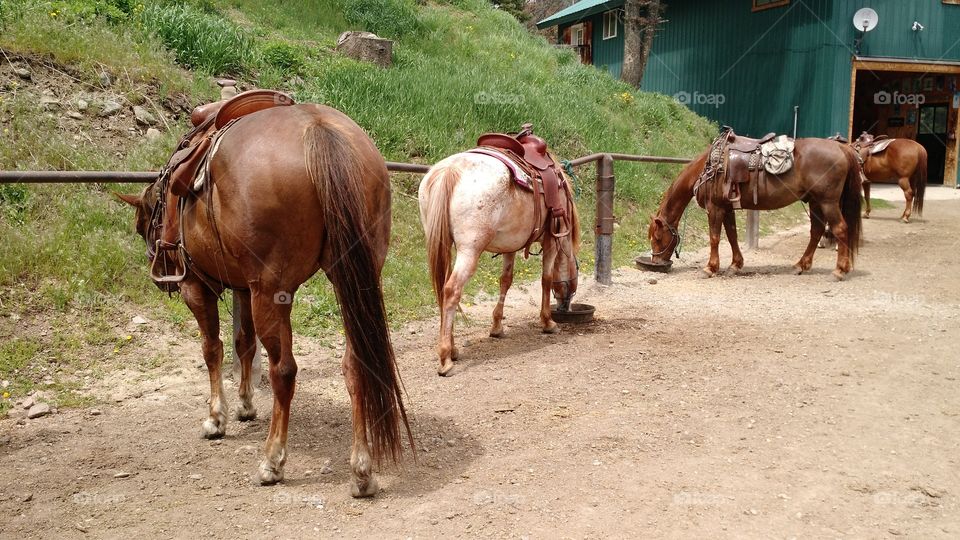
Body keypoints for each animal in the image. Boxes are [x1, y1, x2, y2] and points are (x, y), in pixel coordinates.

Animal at [118, 103, 411, 497]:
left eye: (141, 226)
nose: (160, 277)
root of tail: (318, 129)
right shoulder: (244, 287)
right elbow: (244, 342)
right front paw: (244, 405)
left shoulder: (199, 286)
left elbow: (213, 348)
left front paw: (217, 418)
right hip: (350, 282)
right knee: (355, 364)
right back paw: (362, 470)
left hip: (271, 293)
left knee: (283, 371)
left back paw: (273, 460)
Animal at [418, 151, 581, 376]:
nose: (565, 306)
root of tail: (450, 171)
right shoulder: (551, 241)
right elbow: (546, 279)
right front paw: (548, 322)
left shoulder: (509, 245)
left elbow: (505, 280)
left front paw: (497, 326)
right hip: (469, 251)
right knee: (451, 291)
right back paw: (445, 359)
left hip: (444, 244)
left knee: (442, 290)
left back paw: (453, 349)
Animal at [648, 137, 863, 280]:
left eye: (657, 238)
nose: (656, 262)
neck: (709, 168)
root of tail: (842, 147)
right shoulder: (727, 208)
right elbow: (732, 235)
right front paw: (735, 265)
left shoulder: (715, 208)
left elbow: (715, 237)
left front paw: (710, 267)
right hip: (816, 202)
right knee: (816, 231)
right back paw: (801, 265)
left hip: (828, 202)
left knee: (840, 229)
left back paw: (839, 270)